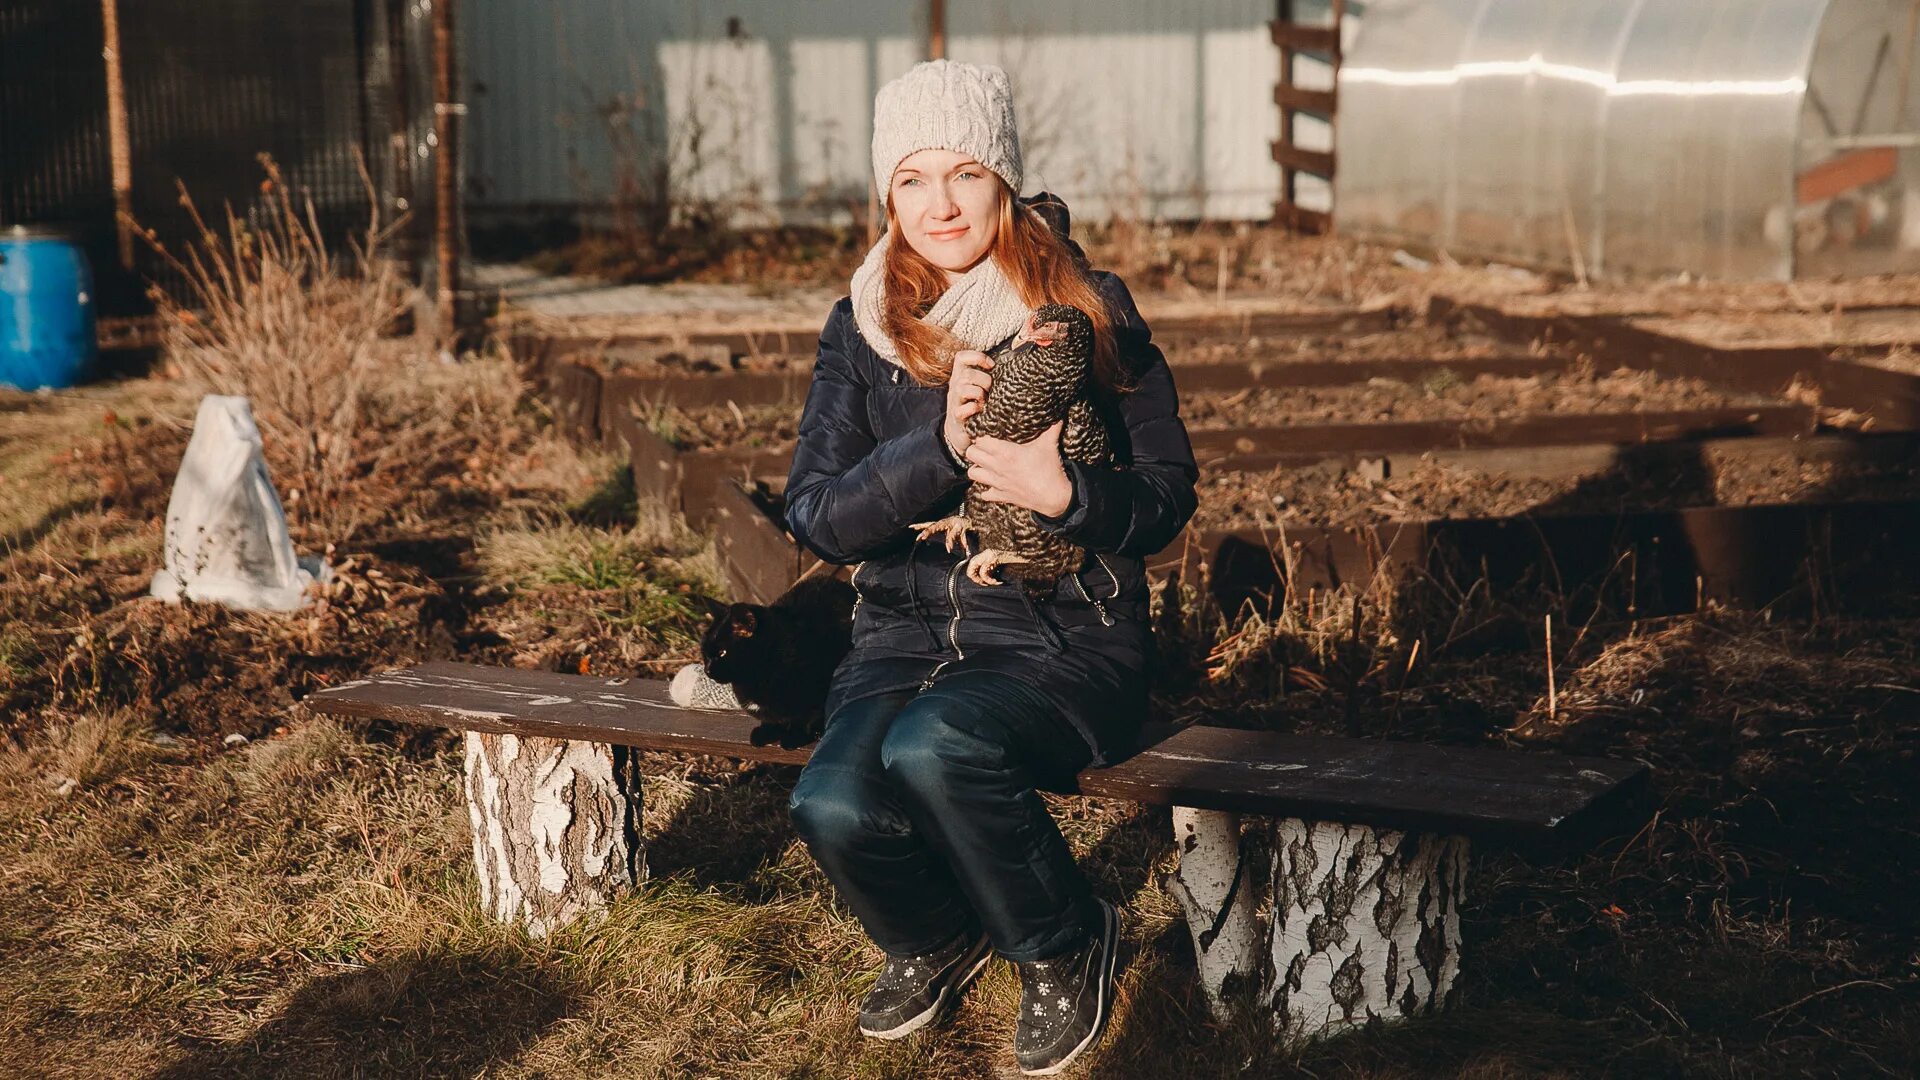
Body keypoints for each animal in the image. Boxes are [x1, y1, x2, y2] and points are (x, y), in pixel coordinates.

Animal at [698, 576, 856, 745]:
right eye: (705, 652)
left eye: (722, 653)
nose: (707, 670)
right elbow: (771, 719)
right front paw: (766, 731)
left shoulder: (819, 688)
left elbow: (804, 717)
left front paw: (794, 736)